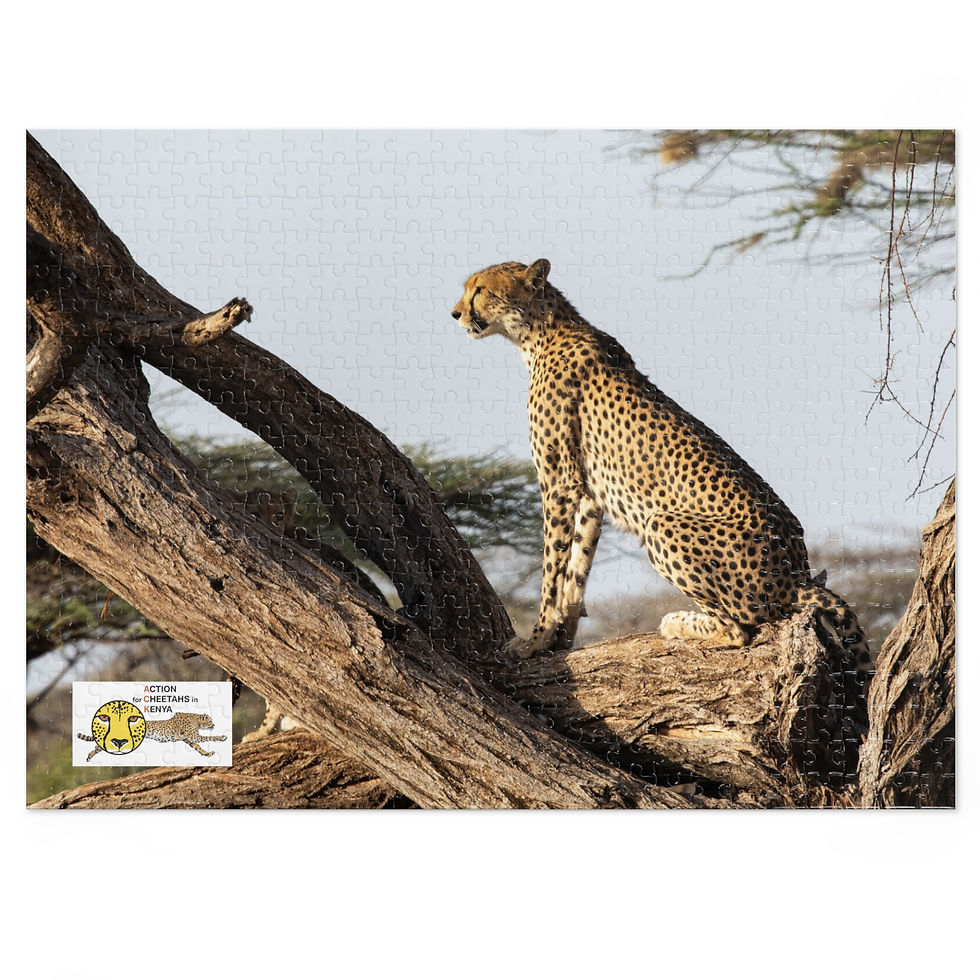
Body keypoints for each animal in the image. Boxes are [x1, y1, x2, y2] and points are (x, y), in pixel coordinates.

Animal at [452, 258, 872, 673]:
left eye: (480, 290)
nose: (455, 313)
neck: (541, 332)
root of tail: (797, 575)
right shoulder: (588, 493)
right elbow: (577, 566)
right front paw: (563, 639)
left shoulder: (559, 483)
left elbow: (553, 567)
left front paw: (535, 640)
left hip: (663, 524)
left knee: (740, 628)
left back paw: (677, 622)